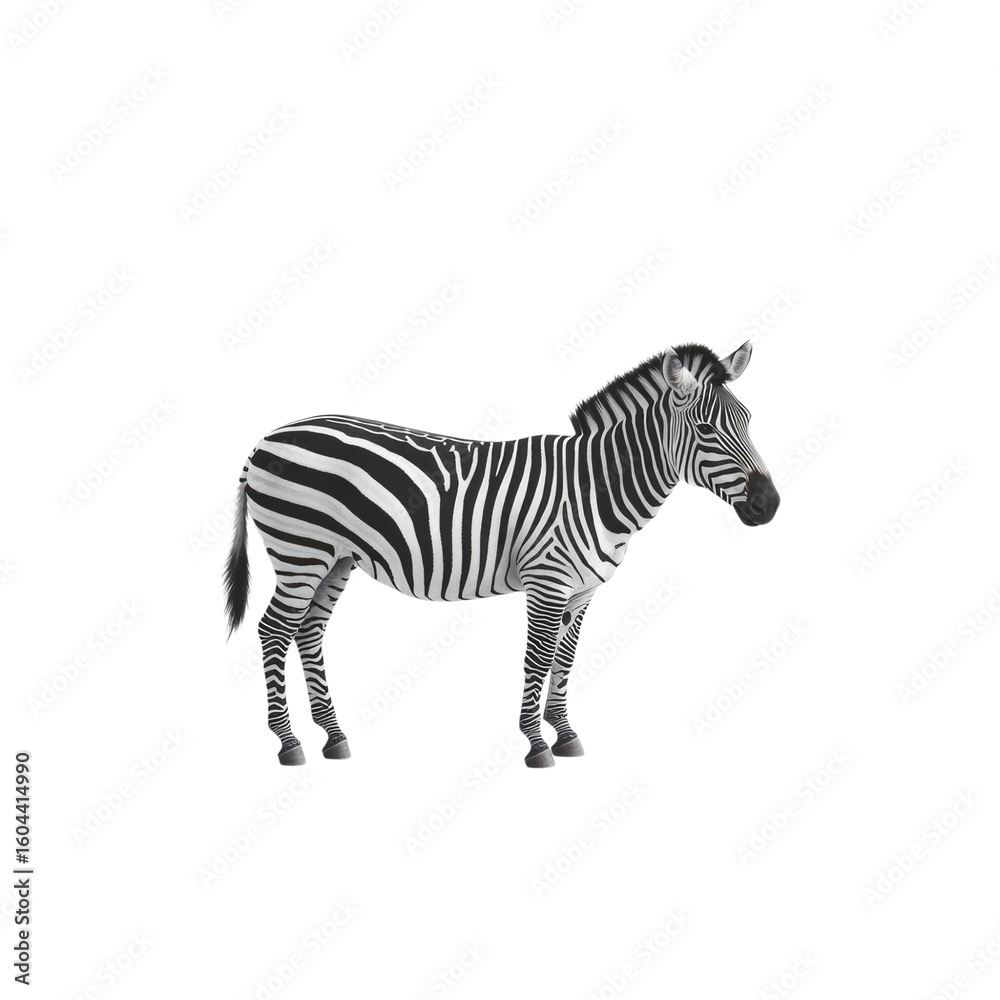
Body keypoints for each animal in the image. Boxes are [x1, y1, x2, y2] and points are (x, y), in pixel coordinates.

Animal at [224, 341, 779, 768]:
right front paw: (537, 745)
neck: (595, 487)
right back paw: (289, 742)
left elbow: (565, 660)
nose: (769, 505)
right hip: (300, 549)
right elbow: (538, 658)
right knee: (274, 630)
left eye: (749, 421)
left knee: (308, 632)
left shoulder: (582, 592)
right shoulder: (547, 580)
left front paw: (565, 733)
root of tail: (265, 439)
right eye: (706, 430)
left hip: (335, 557)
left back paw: (334, 737)